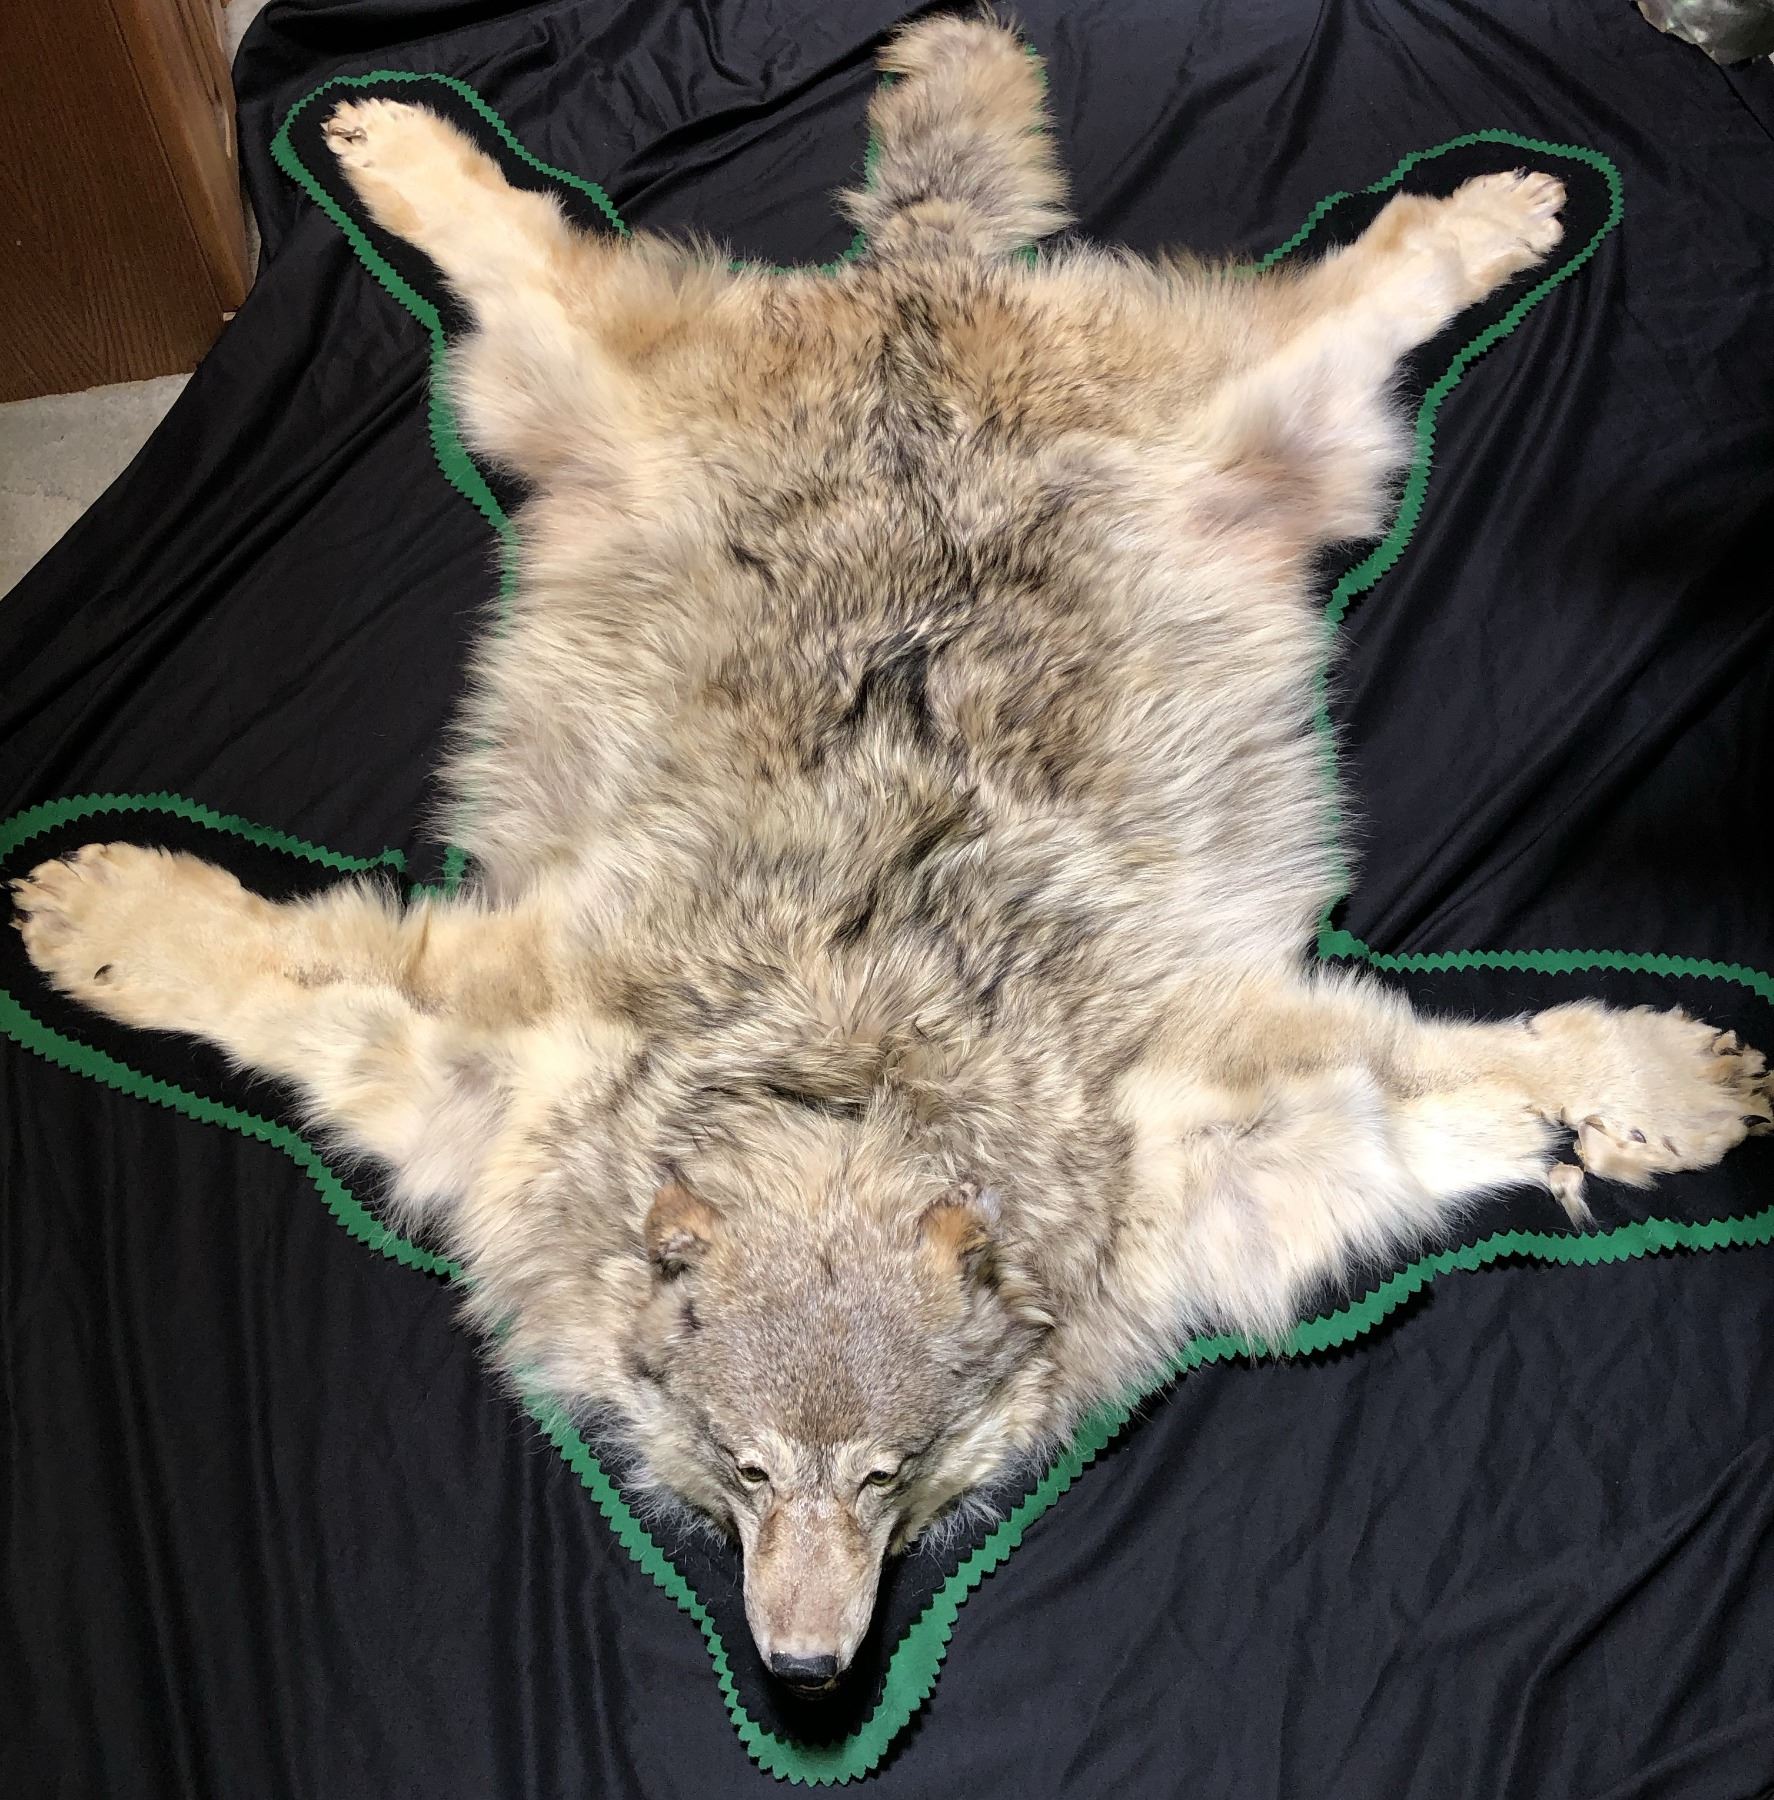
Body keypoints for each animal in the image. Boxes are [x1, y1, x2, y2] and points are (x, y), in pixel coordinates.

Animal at [14, 14, 1770, 1696]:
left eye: (887, 1477)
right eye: (743, 1472)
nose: (800, 1672)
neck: (846, 1082)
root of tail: (920, 286)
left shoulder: (1226, 1132)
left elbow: (1482, 1082)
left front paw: (1661, 1092)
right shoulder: (495, 1059)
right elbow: (277, 978)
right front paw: (107, 913)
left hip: (1287, 415)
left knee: (1377, 262)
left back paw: (1497, 210)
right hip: (566, 390)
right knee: (522, 244)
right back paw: (393, 144)